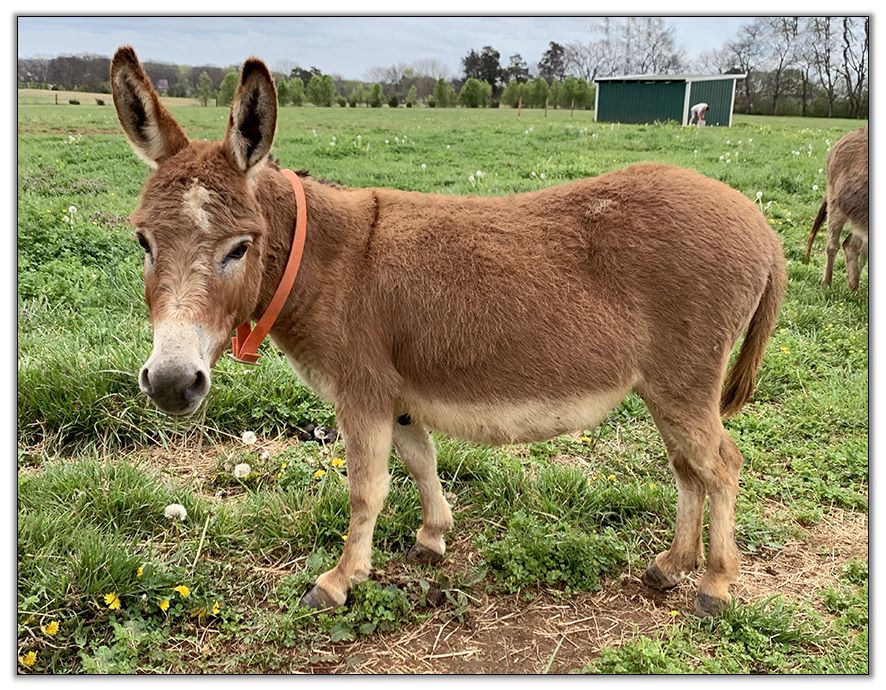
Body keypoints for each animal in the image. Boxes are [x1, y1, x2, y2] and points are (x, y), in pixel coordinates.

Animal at [110, 46, 786, 617]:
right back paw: (672, 567)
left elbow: (366, 489)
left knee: (722, 465)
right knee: (688, 467)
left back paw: (715, 586)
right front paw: (432, 538)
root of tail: (762, 226)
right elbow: (420, 461)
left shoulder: (362, 391)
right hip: (667, 389)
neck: (324, 261)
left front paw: (339, 582)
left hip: (684, 381)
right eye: (142, 241)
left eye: (240, 248)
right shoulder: (398, 394)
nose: (170, 384)